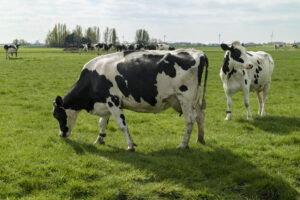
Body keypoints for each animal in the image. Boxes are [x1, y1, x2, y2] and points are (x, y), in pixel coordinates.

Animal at [52, 49, 209, 151]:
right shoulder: (105, 102)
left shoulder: (113, 101)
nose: (61, 134)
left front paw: (130, 145)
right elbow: (102, 123)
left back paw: (183, 145)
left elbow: (122, 125)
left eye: (58, 115)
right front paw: (99, 140)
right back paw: (200, 138)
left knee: (190, 120)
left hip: (185, 97)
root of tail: (198, 53)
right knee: (200, 116)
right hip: (191, 100)